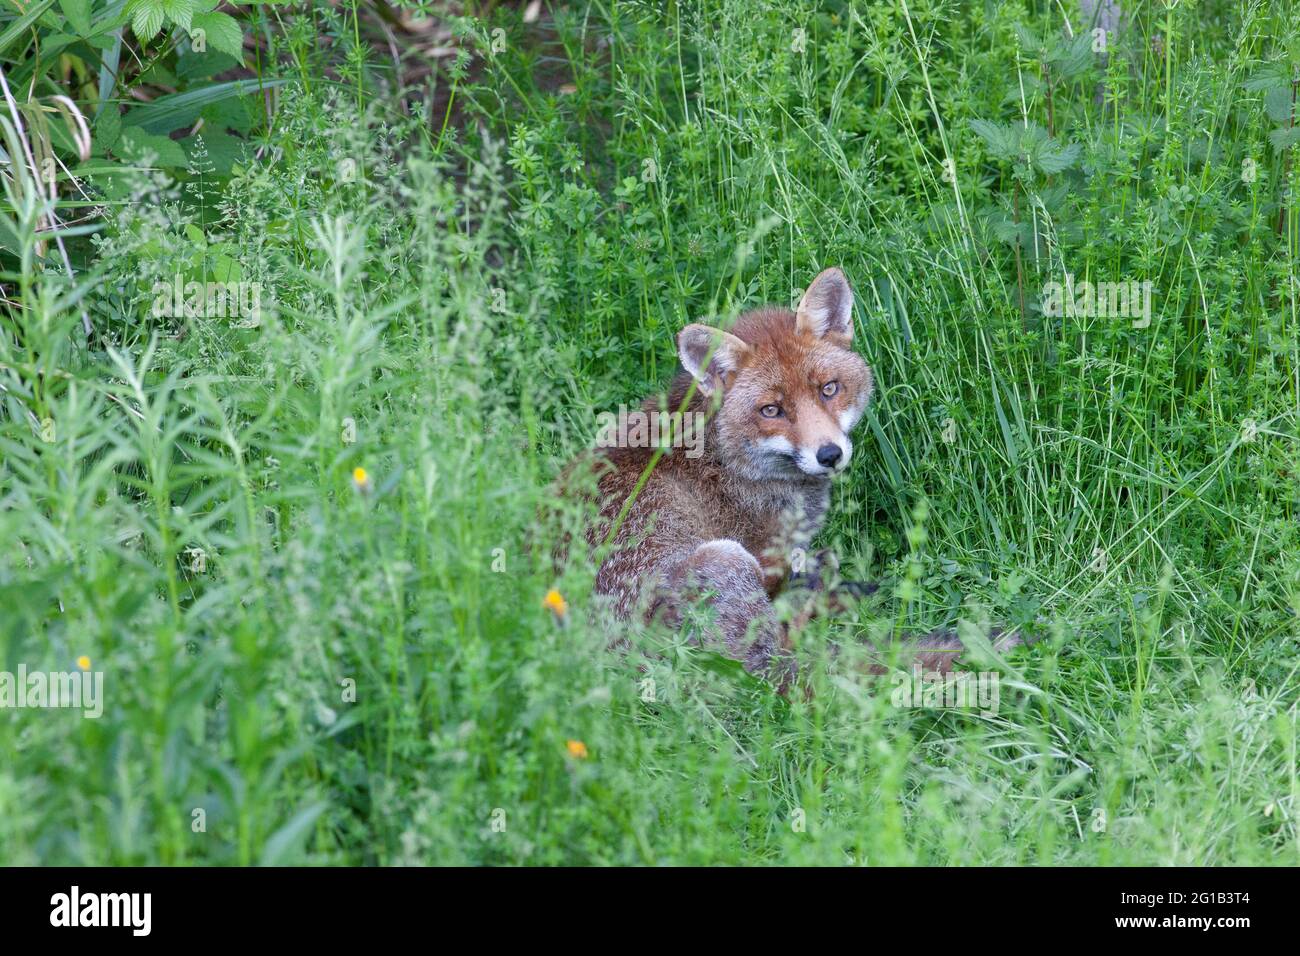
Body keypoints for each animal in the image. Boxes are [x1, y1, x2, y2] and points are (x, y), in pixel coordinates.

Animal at [564, 265, 1019, 691]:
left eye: (829, 389)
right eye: (772, 410)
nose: (829, 455)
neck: (728, 457)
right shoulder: (767, 555)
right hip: (728, 563)